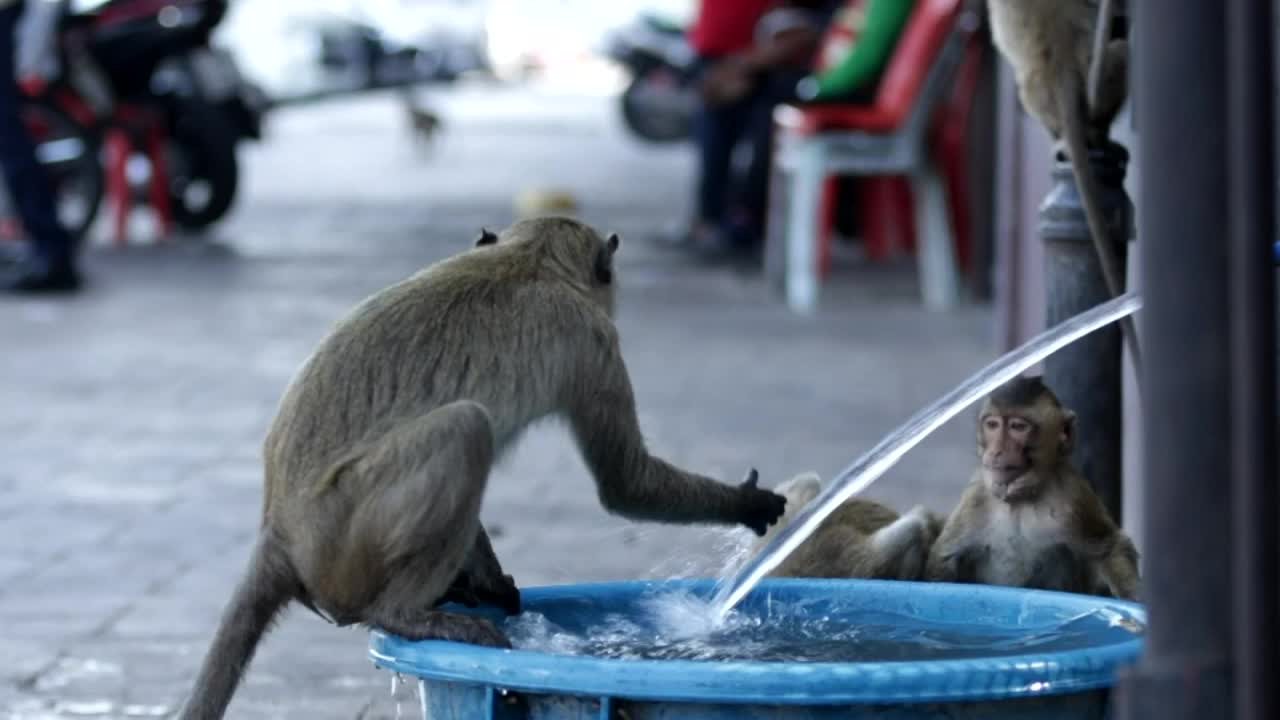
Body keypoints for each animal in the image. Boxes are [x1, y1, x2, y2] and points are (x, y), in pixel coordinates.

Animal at [175, 213, 783, 717]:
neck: (533, 259)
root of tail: (277, 527)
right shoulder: (593, 341)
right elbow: (624, 484)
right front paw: (745, 502)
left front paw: (490, 582)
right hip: (342, 531)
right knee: (467, 429)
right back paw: (402, 613)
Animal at [926, 371, 1146, 597]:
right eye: (992, 425)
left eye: (1018, 427)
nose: (996, 451)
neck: (1019, 499)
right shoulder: (977, 494)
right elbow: (944, 559)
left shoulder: (1074, 496)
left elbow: (1110, 548)